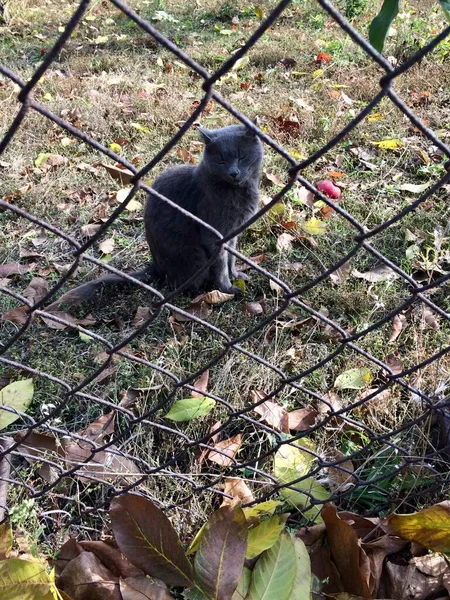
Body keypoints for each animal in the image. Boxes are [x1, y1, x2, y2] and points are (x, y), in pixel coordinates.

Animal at [45, 122, 264, 310]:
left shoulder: (233, 231)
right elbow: (220, 263)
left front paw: (236, 275)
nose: (233, 172)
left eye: (242, 157)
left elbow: (231, 258)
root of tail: (156, 266)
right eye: (220, 160)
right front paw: (227, 289)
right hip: (191, 254)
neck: (240, 191)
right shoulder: (214, 233)